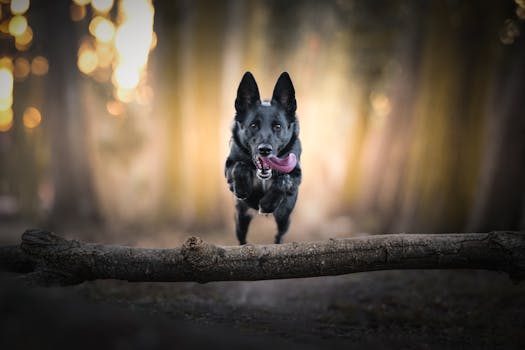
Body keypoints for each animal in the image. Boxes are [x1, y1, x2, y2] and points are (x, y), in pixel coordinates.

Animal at [223, 72, 300, 245]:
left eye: (277, 126)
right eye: (253, 125)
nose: (265, 150)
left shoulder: (297, 175)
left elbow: (284, 180)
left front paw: (267, 204)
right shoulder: (228, 169)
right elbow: (240, 167)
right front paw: (243, 189)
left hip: (284, 218)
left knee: (279, 236)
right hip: (241, 218)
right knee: (242, 237)